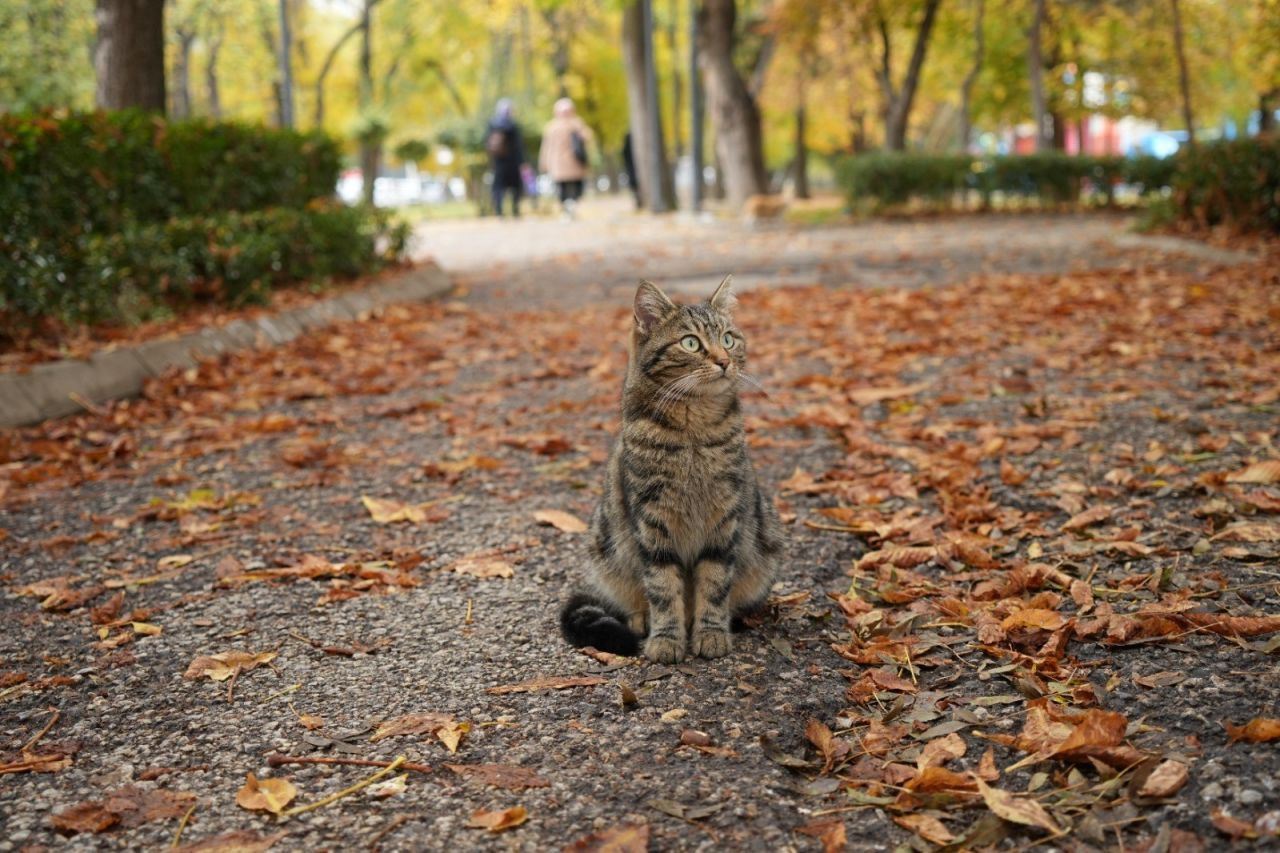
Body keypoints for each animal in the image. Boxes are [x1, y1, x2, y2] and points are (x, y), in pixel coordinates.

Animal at [563, 275, 788, 660]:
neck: (693, 429)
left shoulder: (724, 515)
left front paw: (711, 632)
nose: (724, 361)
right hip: (603, 549)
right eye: (690, 343)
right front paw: (667, 639)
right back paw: (641, 620)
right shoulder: (652, 519)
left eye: (728, 338)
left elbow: (714, 583)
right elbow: (663, 587)